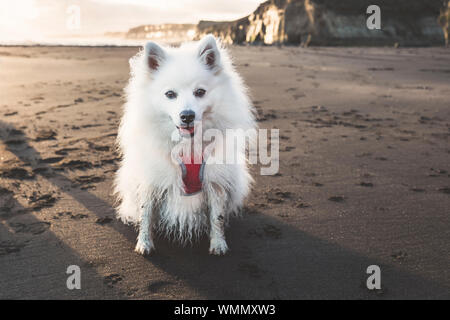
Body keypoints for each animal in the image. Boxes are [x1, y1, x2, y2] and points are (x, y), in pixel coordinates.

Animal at [115, 35, 256, 255]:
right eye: (170, 94)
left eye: (200, 92)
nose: (187, 115)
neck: (188, 146)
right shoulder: (150, 181)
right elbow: (146, 214)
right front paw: (144, 244)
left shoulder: (215, 182)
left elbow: (217, 217)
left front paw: (218, 244)